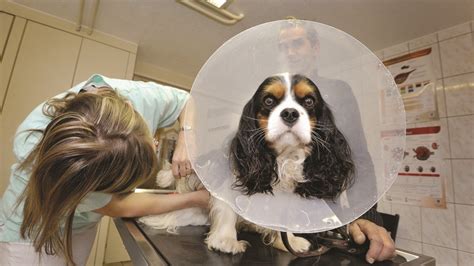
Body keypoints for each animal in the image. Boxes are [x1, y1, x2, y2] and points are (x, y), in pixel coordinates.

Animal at [139, 74, 354, 255]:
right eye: (269, 101)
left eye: (309, 101)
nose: (290, 113)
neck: (281, 157)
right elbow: (227, 209)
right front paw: (225, 241)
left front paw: (289, 241)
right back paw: (165, 178)